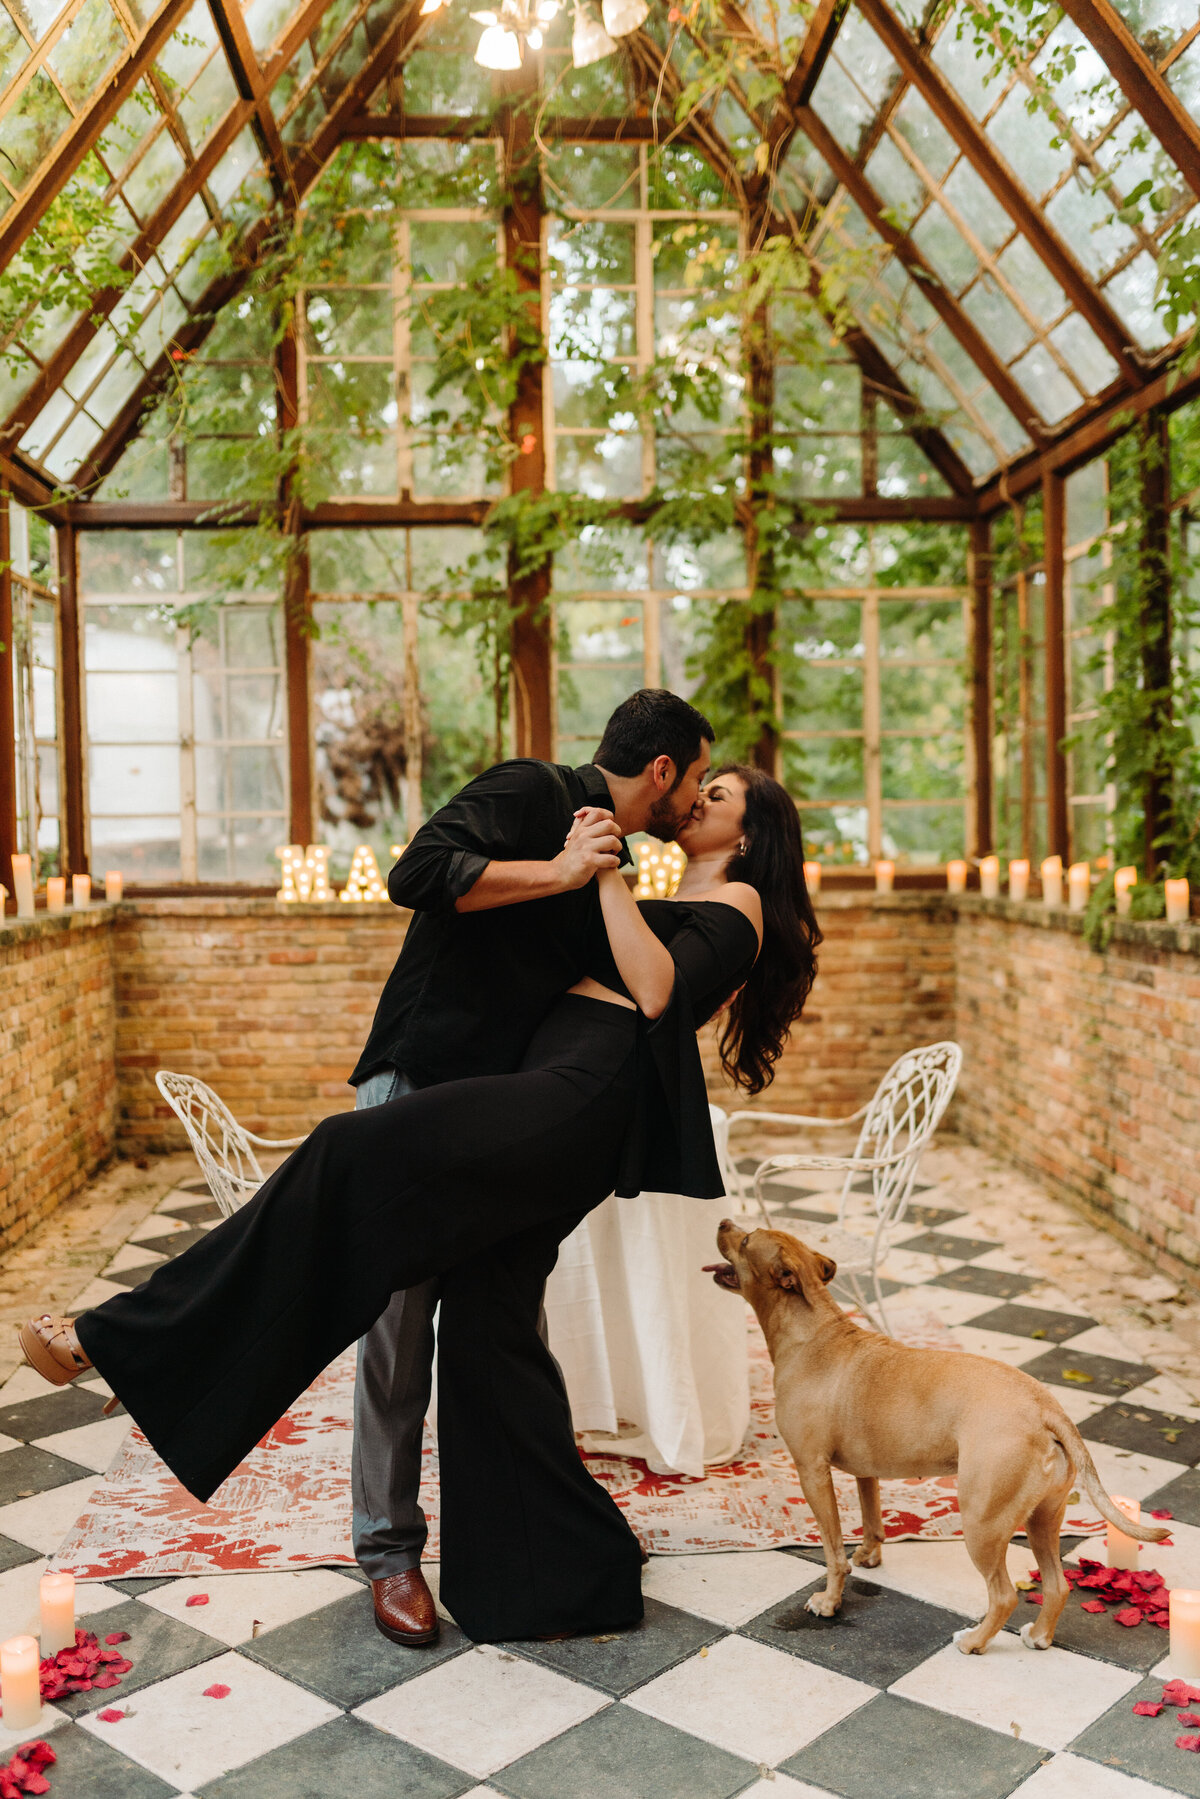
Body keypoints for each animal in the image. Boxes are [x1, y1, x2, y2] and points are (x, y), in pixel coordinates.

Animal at [708, 1223, 1165, 1655]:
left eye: (746, 1239)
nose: (724, 1220)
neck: (810, 1330)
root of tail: (1046, 1408)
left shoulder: (812, 1473)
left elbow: (833, 1551)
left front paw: (829, 1601)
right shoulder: (865, 1472)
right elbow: (872, 1522)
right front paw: (869, 1556)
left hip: (981, 1522)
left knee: (1003, 1595)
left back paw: (975, 1641)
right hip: (1043, 1519)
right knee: (1057, 1585)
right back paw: (1038, 1636)